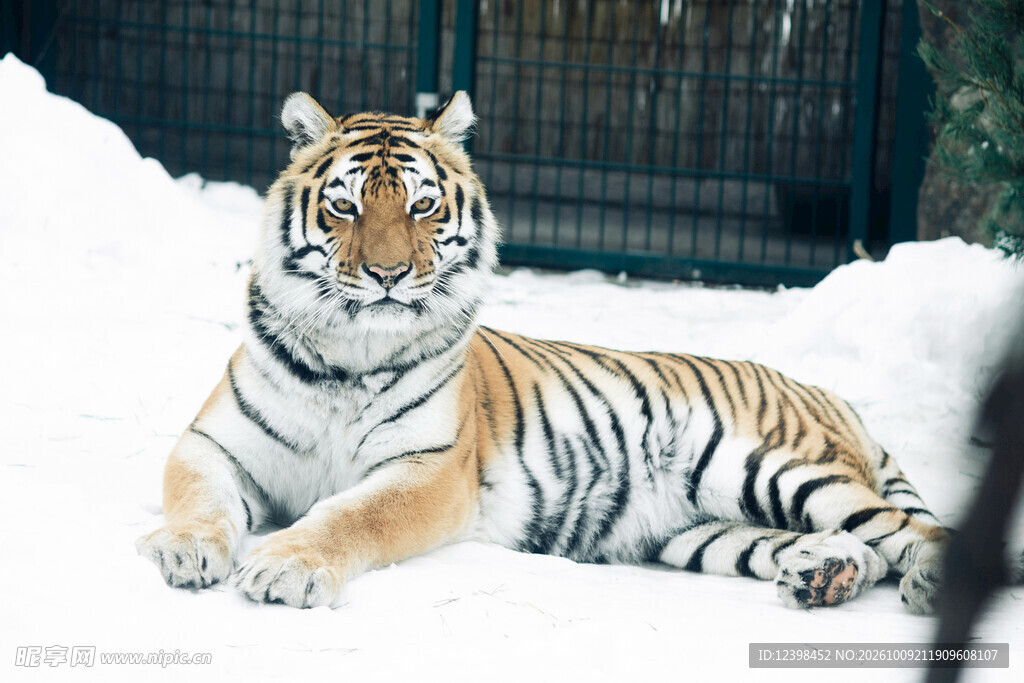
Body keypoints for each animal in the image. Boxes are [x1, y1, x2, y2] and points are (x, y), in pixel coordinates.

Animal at [136, 90, 951, 613]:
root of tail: (828, 394)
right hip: (704, 530)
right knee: (861, 548)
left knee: (913, 531)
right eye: (344, 205)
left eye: (422, 206)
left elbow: (349, 516)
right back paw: (825, 577)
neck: (348, 350)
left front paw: (284, 566)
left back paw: (930, 584)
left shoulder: (427, 470)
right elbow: (199, 498)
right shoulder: (214, 443)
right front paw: (182, 549)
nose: (388, 274)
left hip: (778, 467)